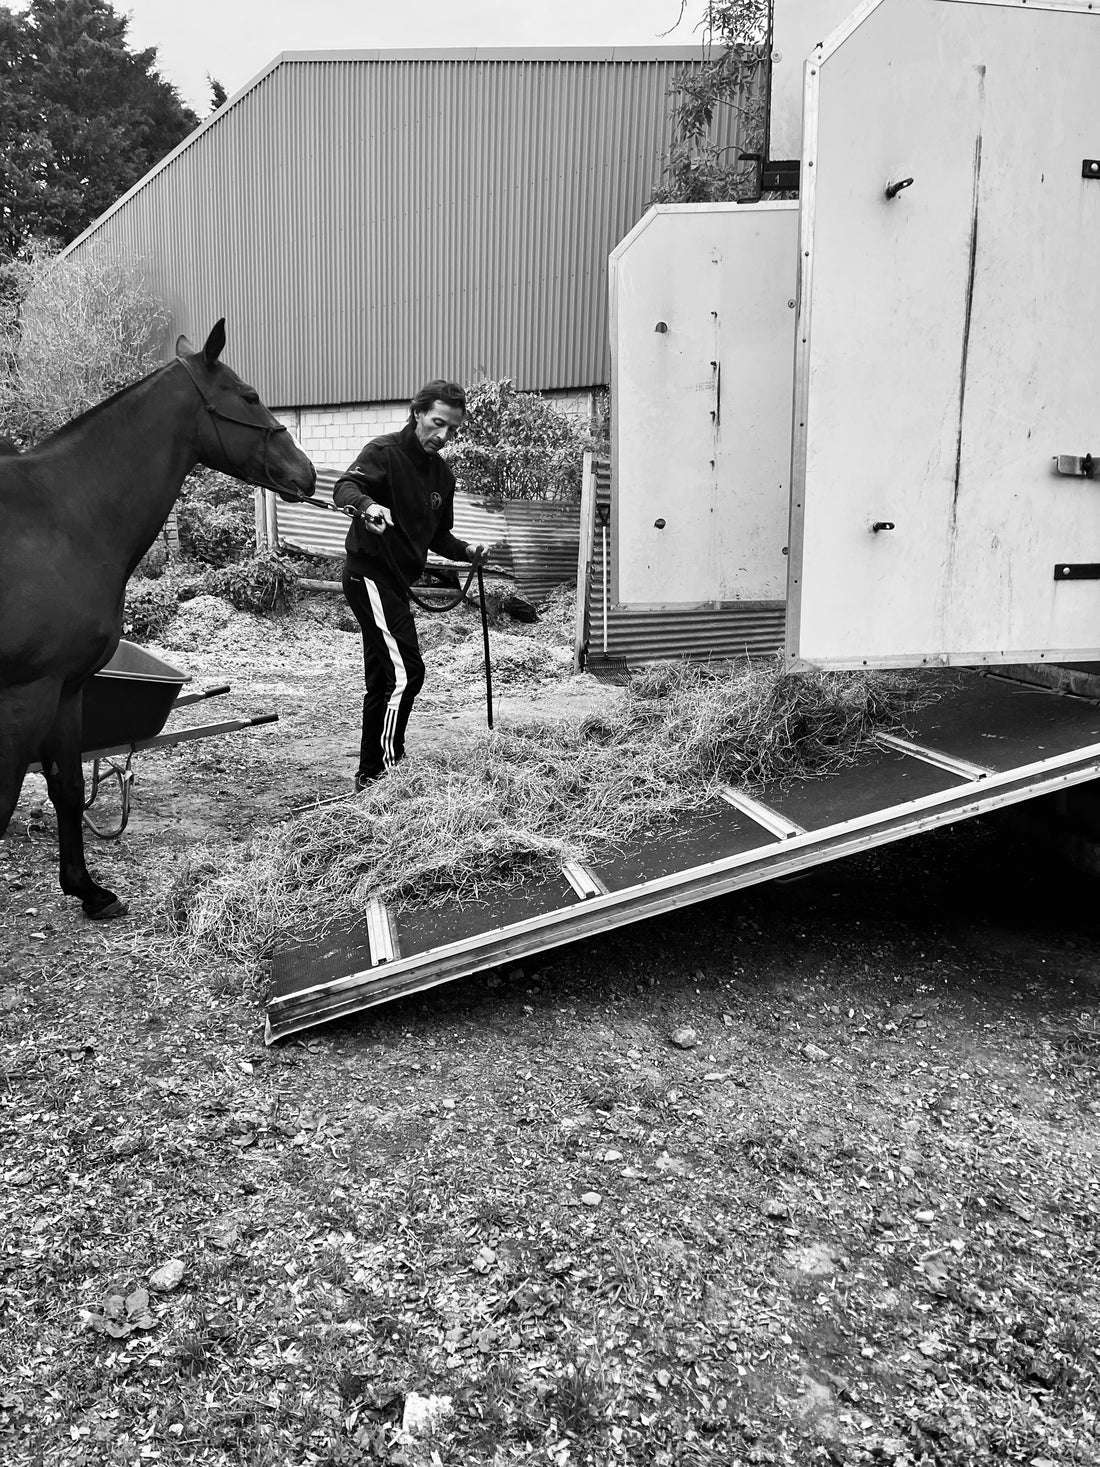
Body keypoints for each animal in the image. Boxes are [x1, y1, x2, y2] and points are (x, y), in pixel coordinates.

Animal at [0, 319, 316, 918]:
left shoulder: (68, 690)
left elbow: (67, 789)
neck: (62, 518)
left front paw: (88, 891)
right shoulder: (25, 695)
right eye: (249, 396)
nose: (307, 473)